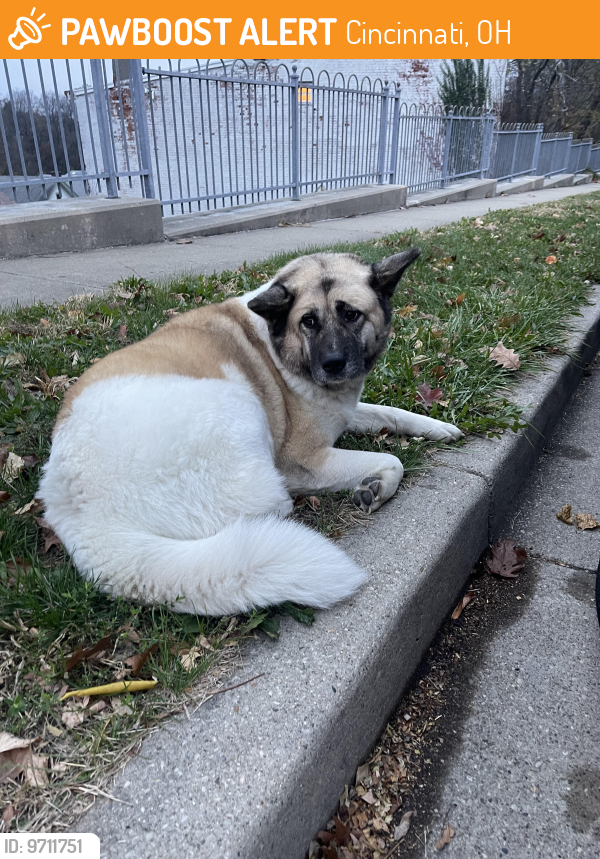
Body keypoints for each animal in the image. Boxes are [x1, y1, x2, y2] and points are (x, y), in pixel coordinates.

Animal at [39, 250, 462, 620]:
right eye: (308, 322)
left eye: (351, 314)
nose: (332, 364)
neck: (277, 345)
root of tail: (84, 519)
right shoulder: (302, 460)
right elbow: (393, 459)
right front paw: (377, 485)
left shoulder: (341, 412)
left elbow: (386, 412)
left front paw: (435, 426)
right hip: (241, 406)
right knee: (273, 505)